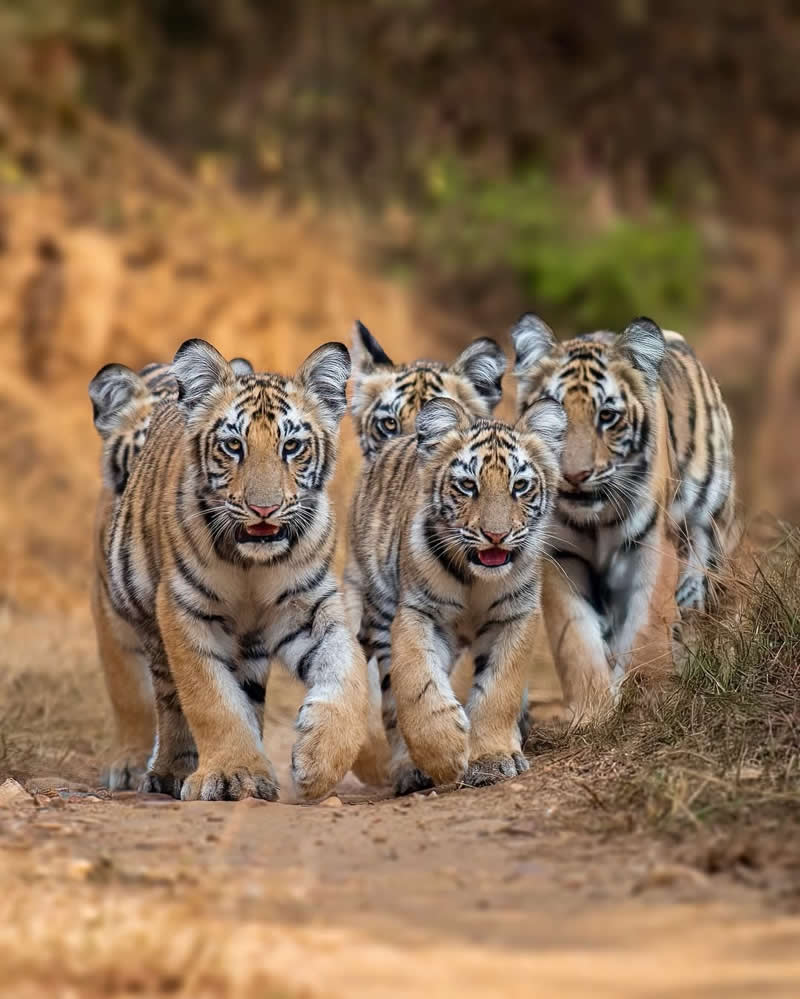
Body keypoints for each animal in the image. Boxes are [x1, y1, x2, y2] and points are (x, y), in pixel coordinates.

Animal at [346, 394, 566, 795]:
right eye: (467, 485)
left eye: (520, 486)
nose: (495, 535)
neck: (475, 578)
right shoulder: (418, 612)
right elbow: (418, 681)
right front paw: (444, 752)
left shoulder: (515, 616)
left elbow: (500, 689)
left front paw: (492, 759)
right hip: (379, 612)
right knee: (392, 701)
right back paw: (410, 770)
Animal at [511, 313, 737, 718]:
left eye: (607, 416)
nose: (575, 475)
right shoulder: (559, 555)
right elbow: (576, 638)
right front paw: (592, 710)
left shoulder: (650, 545)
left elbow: (647, 625)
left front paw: (649, 697)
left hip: (710, 530)